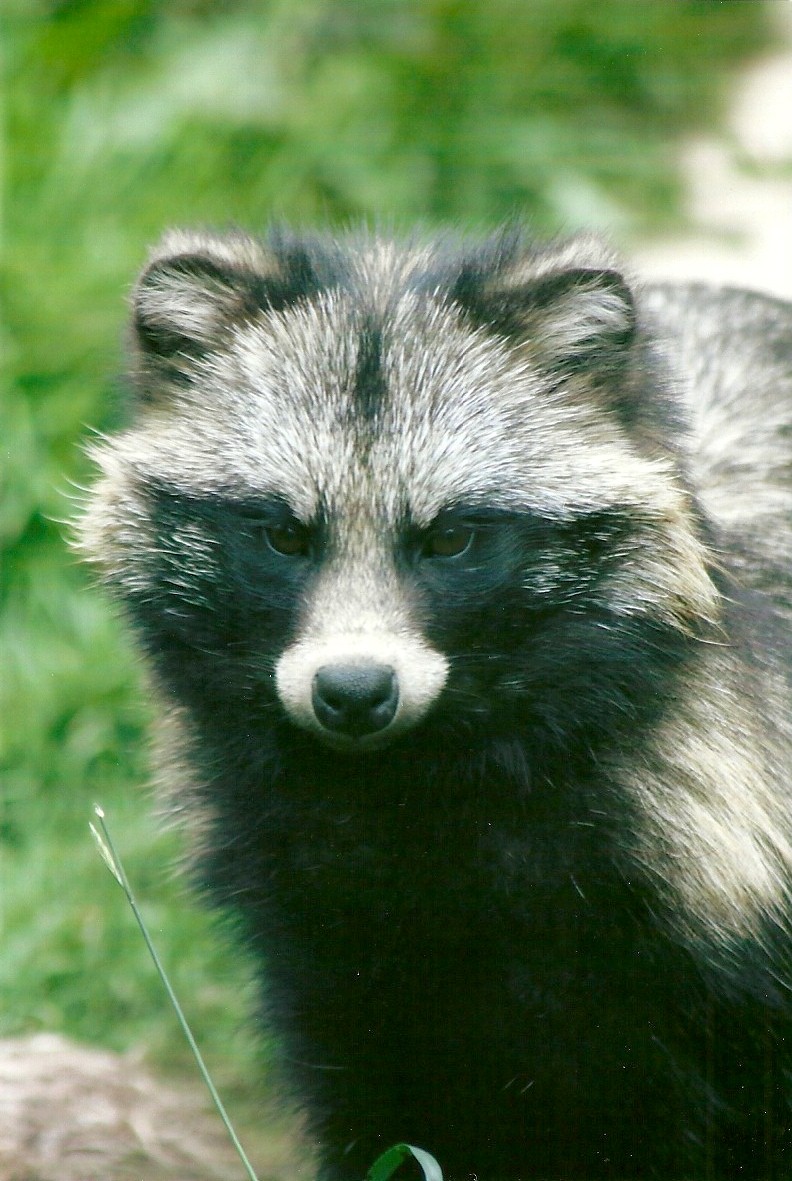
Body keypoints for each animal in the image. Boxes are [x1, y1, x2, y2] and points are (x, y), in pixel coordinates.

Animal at [78, 228, 792, 1180]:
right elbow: (380, 1099)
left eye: (452, 537)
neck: (413, 789)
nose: (352, 691)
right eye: (283, 534)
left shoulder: (704, 894)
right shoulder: (322, 926)